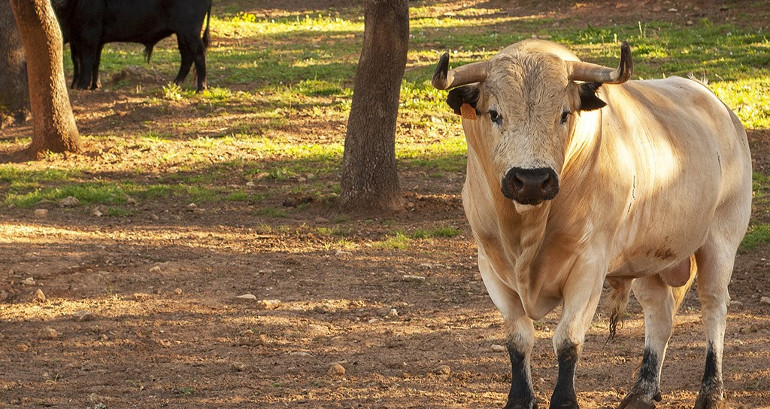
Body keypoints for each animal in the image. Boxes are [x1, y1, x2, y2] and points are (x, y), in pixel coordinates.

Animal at [53, 0, 210, 91]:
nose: (58, 2)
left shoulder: (89, 34)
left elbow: (86, 60)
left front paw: (81, 86)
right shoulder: (91, 39)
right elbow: (88, 62)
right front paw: (93, 85)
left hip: (189, 32)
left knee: (198, 53)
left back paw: (201, 87)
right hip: (182, 34)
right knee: (187, 56)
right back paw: (175, 83)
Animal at [432, 40, 752, 408]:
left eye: (564, 114)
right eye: (494, 114)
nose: (531, 180)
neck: (526, 232)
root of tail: (716, 104)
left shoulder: (589, 265)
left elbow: (568, 339)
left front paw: (564, 399)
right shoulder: (490, 265)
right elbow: (518, 339)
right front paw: (519, 399)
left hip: (720, 240)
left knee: (713, 307)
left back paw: (711, 390)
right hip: (649, 258)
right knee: (659, 314)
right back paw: (642, 390)